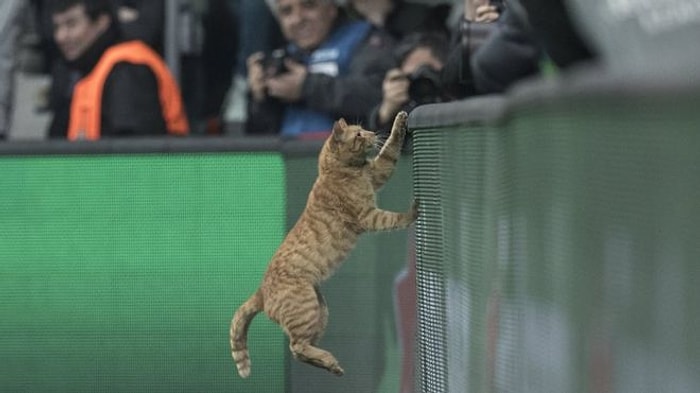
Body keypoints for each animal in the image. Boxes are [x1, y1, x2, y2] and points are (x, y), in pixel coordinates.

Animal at [230, 110, 416, 376]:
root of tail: (261, 292)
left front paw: (399, 121)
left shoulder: (378, 171)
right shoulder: (368, 216)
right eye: (358, 134)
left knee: (302, 350)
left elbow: (391, 148)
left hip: (321, 312)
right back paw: (329, 361)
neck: (338, 169)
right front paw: (413, 211)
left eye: (364, 130)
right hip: (306, 309)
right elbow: (394, 218)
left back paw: (331, 365)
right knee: (296, 347)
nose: (372, 133)